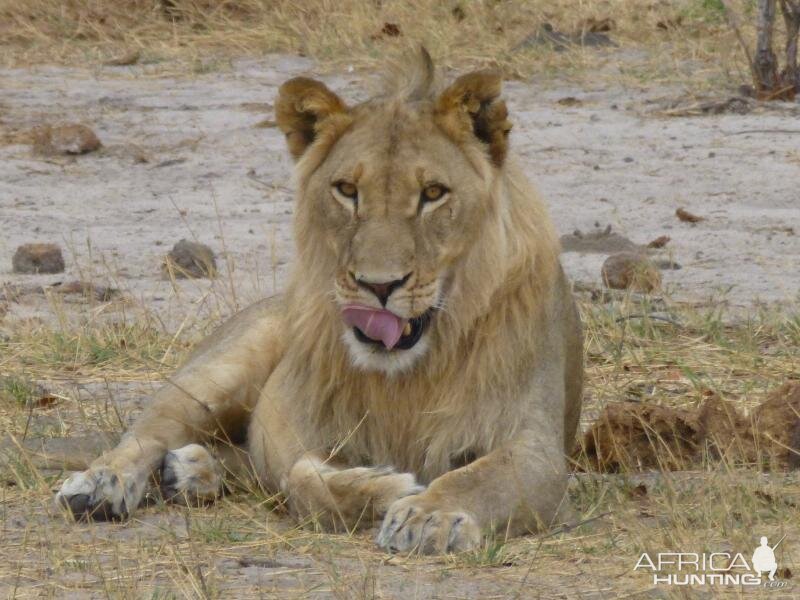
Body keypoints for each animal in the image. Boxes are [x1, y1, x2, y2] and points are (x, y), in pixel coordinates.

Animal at [54, 49, 580, 556]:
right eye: (347, 190)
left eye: (433, 193)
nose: (378, 286)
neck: (409, 376)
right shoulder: (286, 418)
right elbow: (301, 479)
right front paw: (387, 488)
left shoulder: (538, 446)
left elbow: (479, 478)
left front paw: (429, 515)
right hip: (225, 363)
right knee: (148, 431)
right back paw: (100, 485)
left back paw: (189, 470)